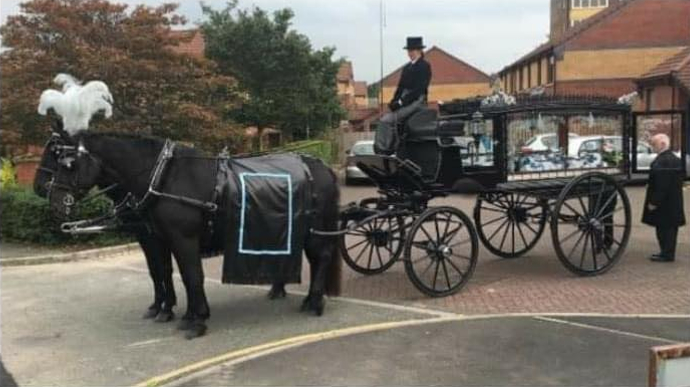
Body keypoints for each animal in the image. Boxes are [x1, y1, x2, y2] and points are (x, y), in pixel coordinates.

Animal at [35, 128, 342, 340]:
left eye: (67, 162)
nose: (47, 194)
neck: (163, 178)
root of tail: (322, 166)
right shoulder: (157, 238)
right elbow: (162, 273)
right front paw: (168, 309)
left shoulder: (182, 239)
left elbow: (191, 276)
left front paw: (196, 320)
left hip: (315, 229)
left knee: (322, 257)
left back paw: (314, 302)